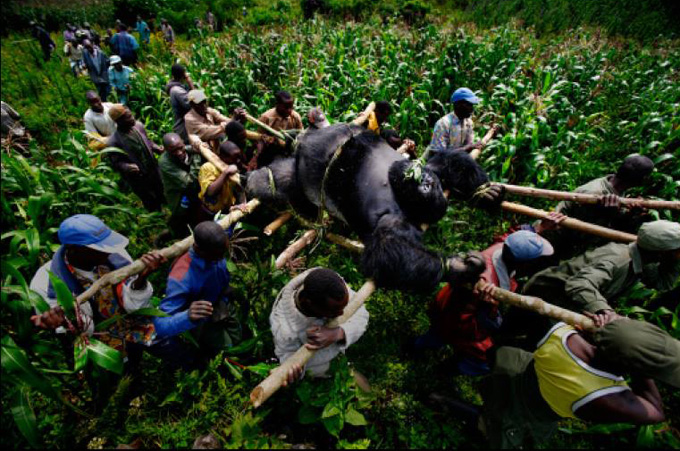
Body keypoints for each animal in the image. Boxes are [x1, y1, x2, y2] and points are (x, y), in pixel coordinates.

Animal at [247, 124, 502, 294]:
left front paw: (483, 193)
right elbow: (386, 249)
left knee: (282, 174)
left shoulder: (413, 191)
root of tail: (303, 139)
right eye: (426, 184)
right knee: (277, 179)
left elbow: (450, 162)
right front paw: (458, 267)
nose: (423, 183)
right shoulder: (415, 184)